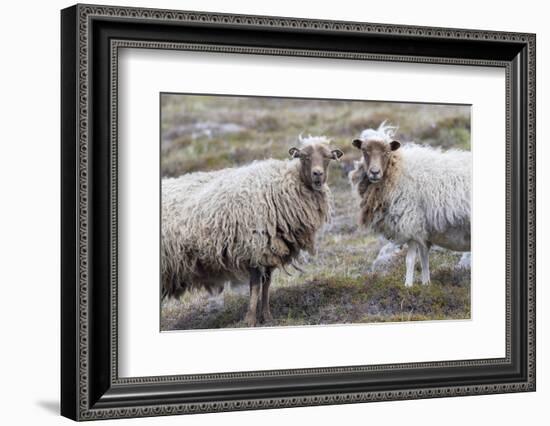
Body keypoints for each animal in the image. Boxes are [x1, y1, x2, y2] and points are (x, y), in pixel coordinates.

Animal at [161, 136, 344, 326]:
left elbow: (267, 284)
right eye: (304, 156)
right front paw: (250, 319)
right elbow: (255, 286)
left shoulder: (270, 251)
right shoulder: (254, 249)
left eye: (328, 157)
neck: (283, 185)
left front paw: (267, 316)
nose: (318, 174)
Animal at [352, 121, 472, 286]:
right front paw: (426, 284)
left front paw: (408, 286)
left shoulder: (411, 223)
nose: (374, 173)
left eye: (386, 152)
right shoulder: (422, 230)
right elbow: (424, 258)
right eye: (364, 151)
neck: (397, 170)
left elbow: (410, 260)